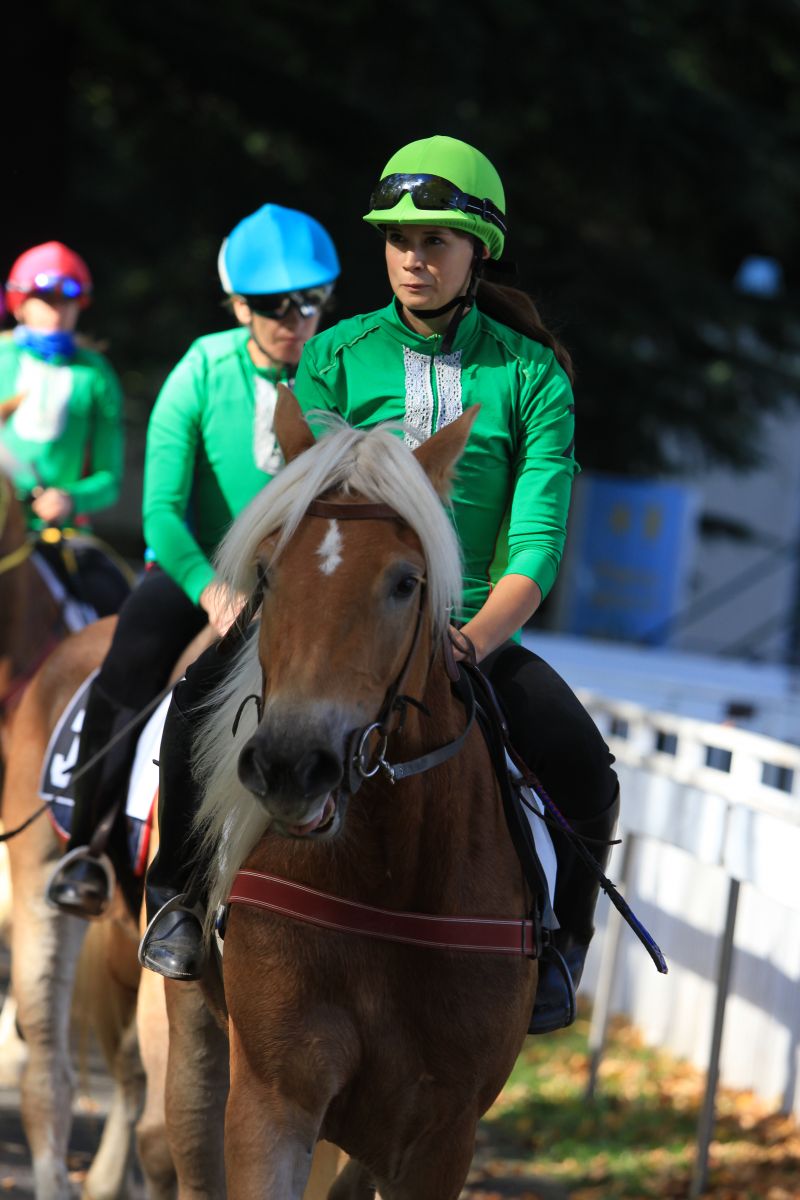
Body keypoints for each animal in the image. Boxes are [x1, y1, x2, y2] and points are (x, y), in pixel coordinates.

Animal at [189, 389, 538, 1199]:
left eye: (406, 582)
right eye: (266, 576)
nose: (291, 764)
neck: (386, 876)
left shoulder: (440, 1137)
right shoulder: (273, 1100)